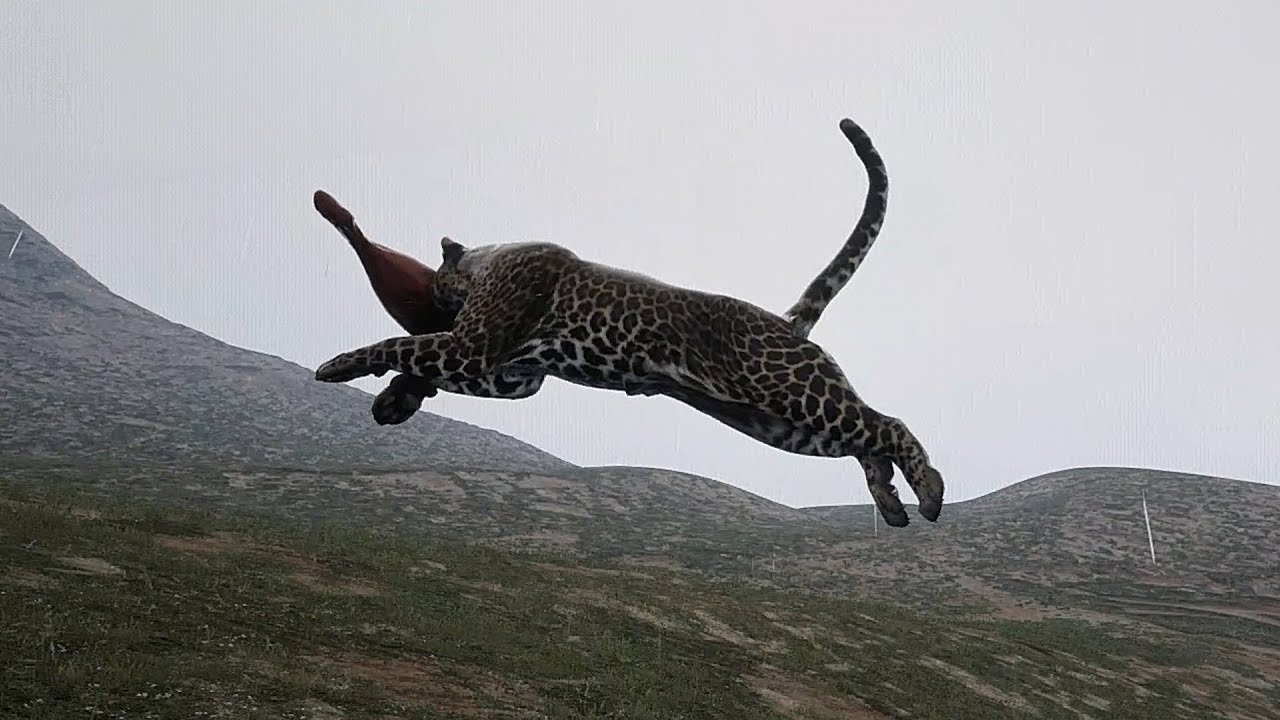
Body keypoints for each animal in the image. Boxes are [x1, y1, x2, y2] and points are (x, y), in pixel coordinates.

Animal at [314, 118, 944, 527]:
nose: (428, 296)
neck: (486, 259)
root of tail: (787, 323)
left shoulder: (473, 349)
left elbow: (399, 342)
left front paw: (339, 366)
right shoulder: (509, 374)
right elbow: (419, 356)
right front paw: (393, 399)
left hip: (792, 392)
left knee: (888, 423)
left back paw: (928, 490)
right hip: (779, 425)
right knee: (868, 437)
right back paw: (891, 502)